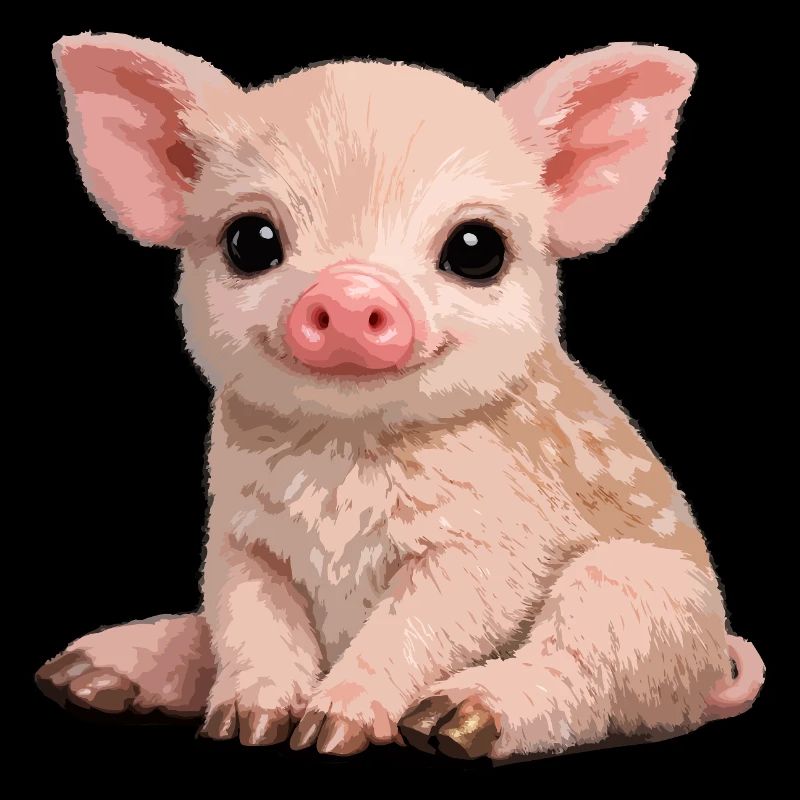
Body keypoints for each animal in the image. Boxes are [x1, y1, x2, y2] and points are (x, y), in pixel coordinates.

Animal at [36, 33, 764, 762]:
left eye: (477, 248)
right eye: (250, 239)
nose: (349, 291)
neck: (342, 452)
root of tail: (707, 674)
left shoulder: (492, 537)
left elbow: (426, 619)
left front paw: (332, 731)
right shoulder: (241, 538)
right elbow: (248, 619)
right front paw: (249, 725)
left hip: (645, 595)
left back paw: (453, 721)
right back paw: (83, 674)